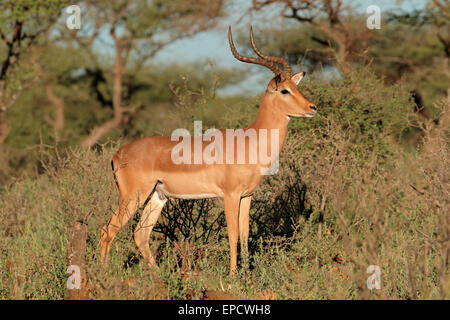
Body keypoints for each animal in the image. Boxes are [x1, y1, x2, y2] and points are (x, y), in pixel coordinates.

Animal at [100, 26, 318, 276]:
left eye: (296, 87)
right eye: (284, 90)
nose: (313, 107)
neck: (250, 142)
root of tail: (118, 154)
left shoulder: (247, 196)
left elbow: (245, 235)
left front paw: (247, 276)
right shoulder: (230, 195)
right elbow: (233, 235)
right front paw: (233, 276)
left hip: (157, 196)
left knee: (140, 234)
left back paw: (159, 276)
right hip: (133, 197)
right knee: (108, 231)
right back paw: (103, 275)